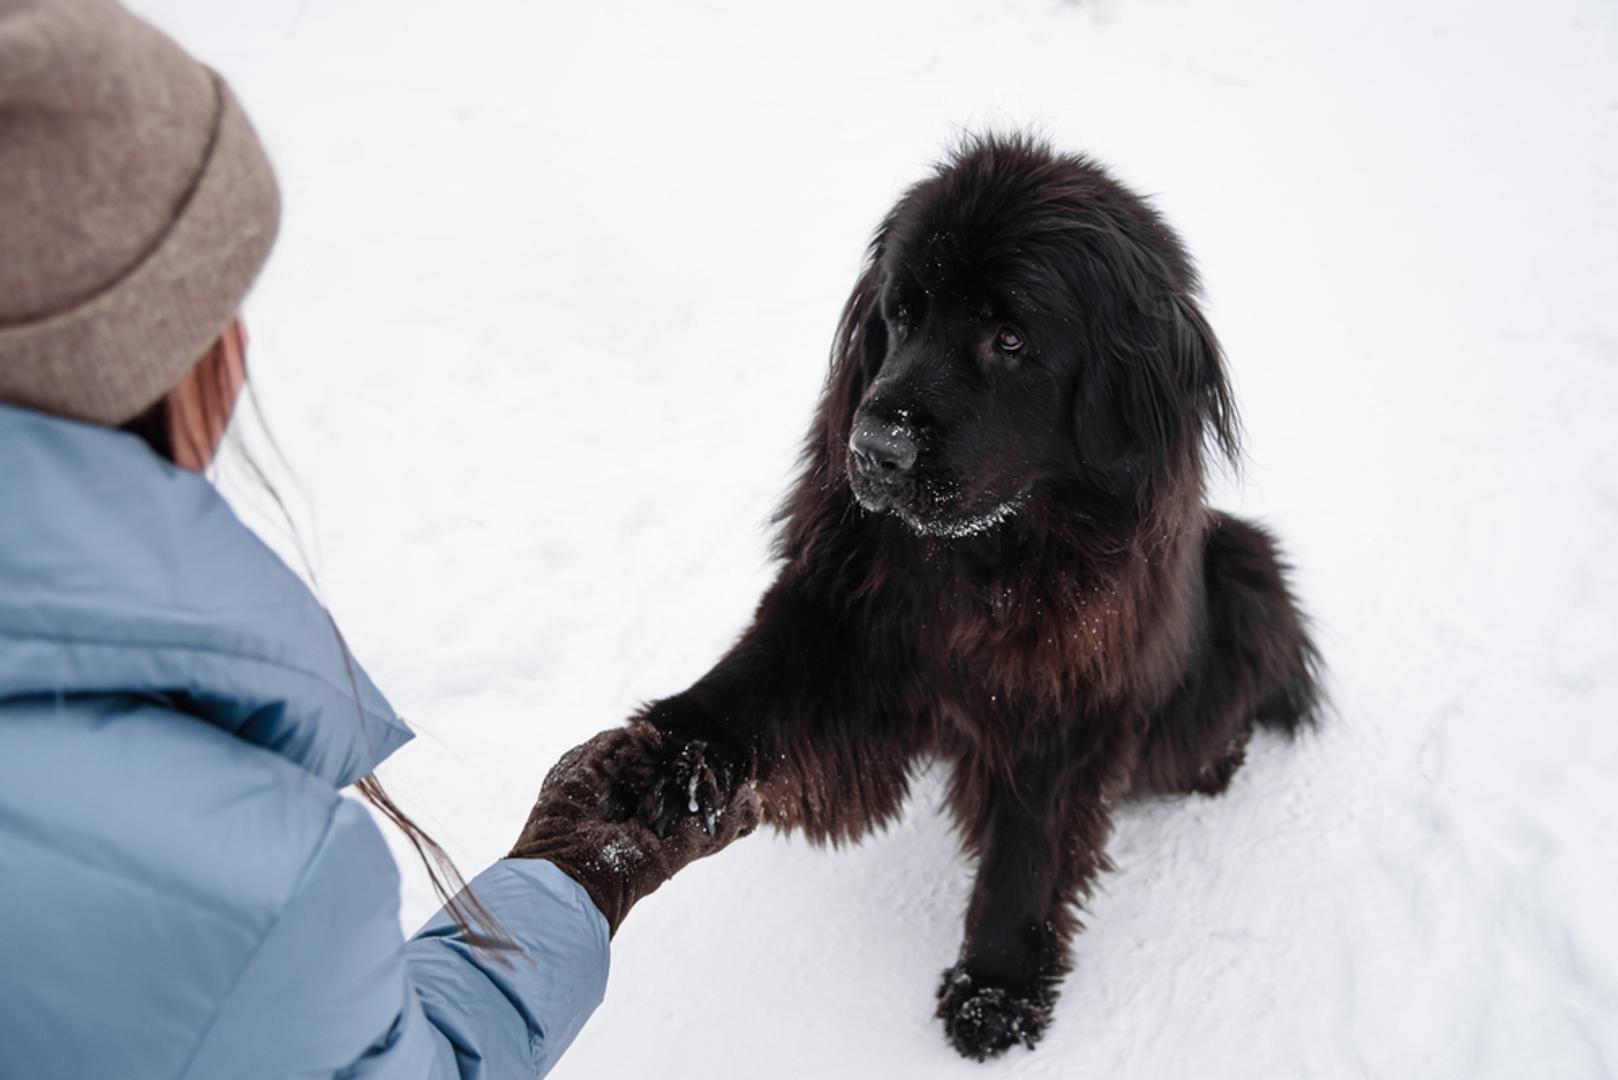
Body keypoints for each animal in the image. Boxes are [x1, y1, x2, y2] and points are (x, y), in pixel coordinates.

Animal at [601, 131, 1320, 1062]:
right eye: (902, 315)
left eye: (1010, 338)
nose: (875, 448)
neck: (985, 559)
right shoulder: (839, 607)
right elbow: (746, 680)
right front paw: (663, 757)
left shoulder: (1067, 692)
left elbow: (1028, 850)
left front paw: (996, 988)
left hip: (1243, 564)